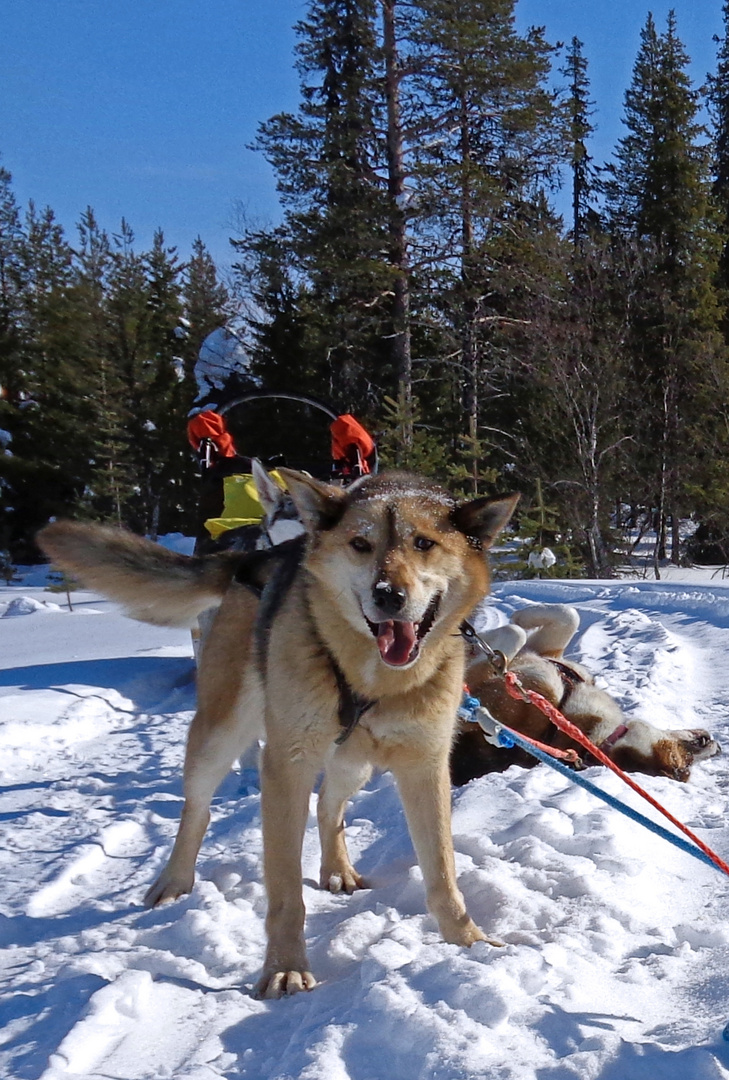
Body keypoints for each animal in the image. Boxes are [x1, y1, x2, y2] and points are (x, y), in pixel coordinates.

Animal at [38, 468, 518, 997]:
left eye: (424, 543)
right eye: (360, 544)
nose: (388, 595)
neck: (374, 677)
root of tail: (256, 557)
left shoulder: (425, 766)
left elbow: (443, 875)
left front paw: (470, 944)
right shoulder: (287, 764)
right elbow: (286, 892)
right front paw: (284, 967)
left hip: (356, 761)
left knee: (329, 806)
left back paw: (338, 869)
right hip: (221, 734)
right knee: (198, 809)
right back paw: (175, 880)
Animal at [453, 604, 721, 790]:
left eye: (682, 764)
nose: (715, 746)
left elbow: (513, 634)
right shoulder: (546, 655)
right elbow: (568, 616)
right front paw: (520, 614)